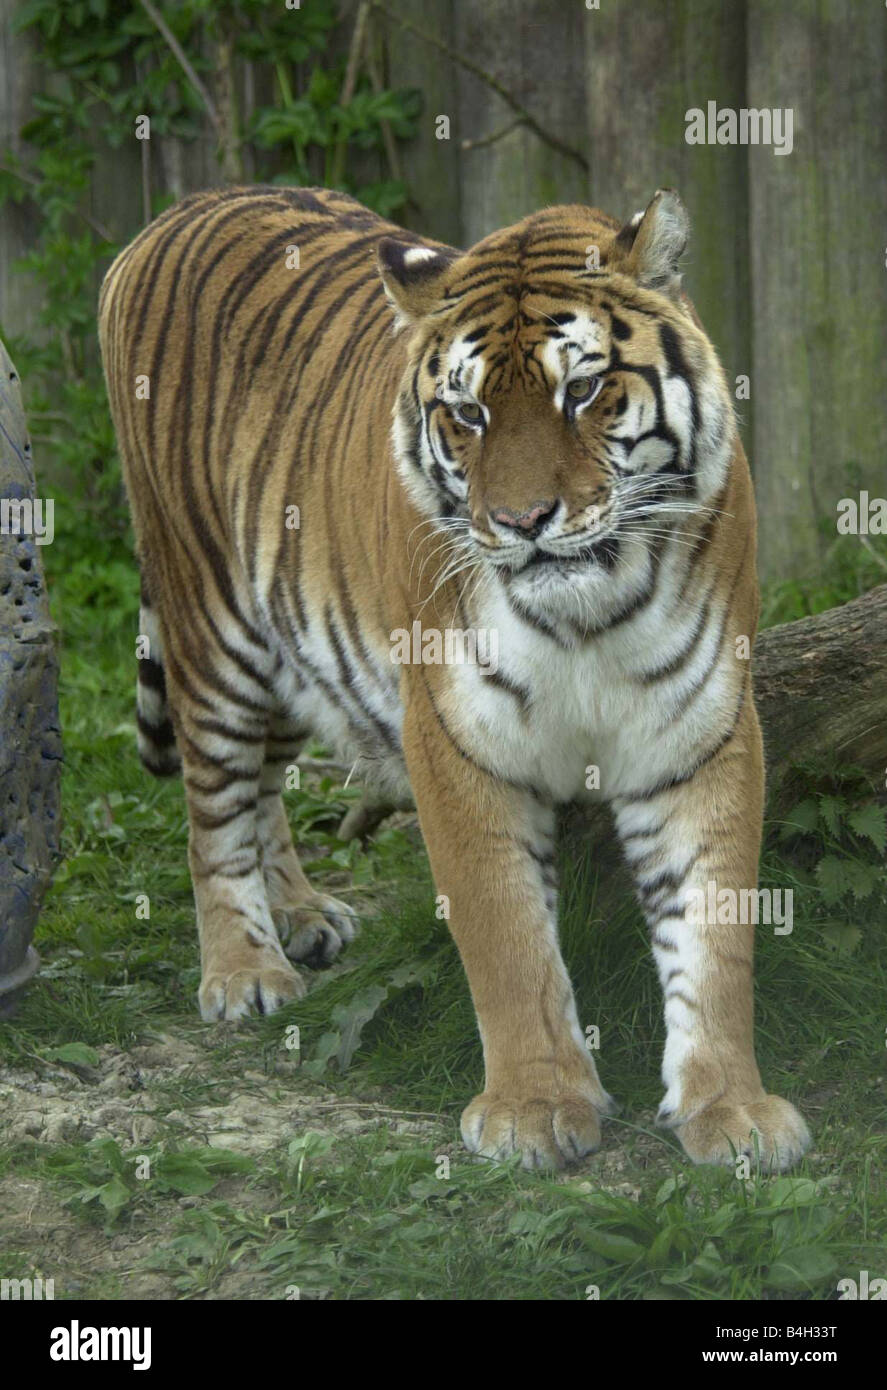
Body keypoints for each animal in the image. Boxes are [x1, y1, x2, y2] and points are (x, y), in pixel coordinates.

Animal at [98, 182, 811, 1173]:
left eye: (581, 390)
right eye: (467, 414)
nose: (521, 522)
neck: (590, 613)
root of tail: (179, 208)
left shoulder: (697, 732)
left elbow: (713, 936)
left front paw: (729, 1109)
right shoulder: (455, 736)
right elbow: (506, 937)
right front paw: (534, 1108)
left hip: (295, 645)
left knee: (264, 787)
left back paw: (303, 916)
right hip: (213, 625)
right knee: (214, 810)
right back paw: (245, 971)